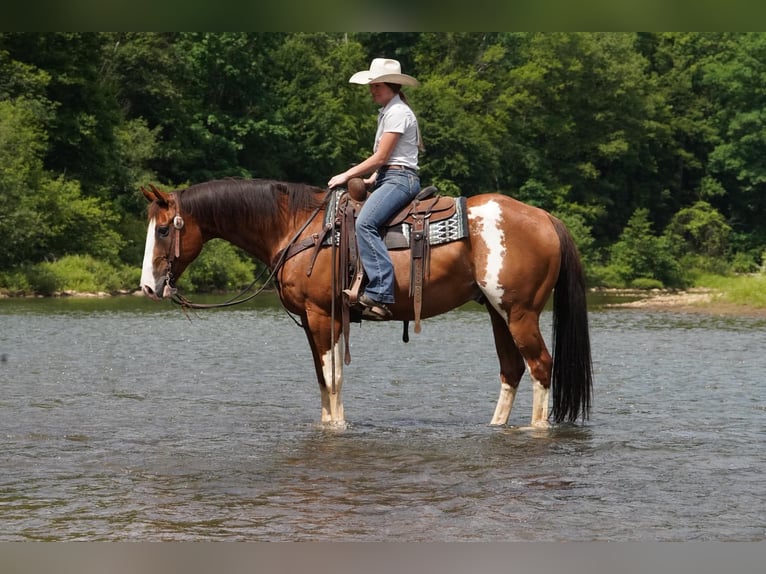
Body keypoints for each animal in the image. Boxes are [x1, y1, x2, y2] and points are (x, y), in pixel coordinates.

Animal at [140, 178, 593, 428]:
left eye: (163, 230)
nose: (147, 287)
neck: (297, 228)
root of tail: (546, 218)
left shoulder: (323, 315)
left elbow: (333, 378)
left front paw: (338, 428)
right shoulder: (314, 322)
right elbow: (323, 380)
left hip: (521, 313)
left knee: (541, 366)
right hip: (498, 312)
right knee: (511, 370)